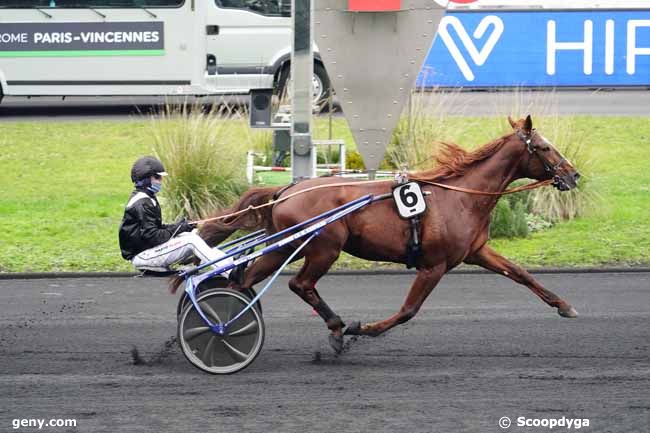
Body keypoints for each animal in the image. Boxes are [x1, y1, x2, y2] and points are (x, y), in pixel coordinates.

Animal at [196, 116, 576, 352]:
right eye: (544, 147)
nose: (573, 175)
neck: (460, 196)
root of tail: (286, 189)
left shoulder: (476, 251)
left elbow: (521, 274)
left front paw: (564, 306)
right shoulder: (434, 265)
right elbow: (409, 310)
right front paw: (361, 330)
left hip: (283, 246)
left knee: (242, 282)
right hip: (323, 248)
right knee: (299, 284)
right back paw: (336, 327)